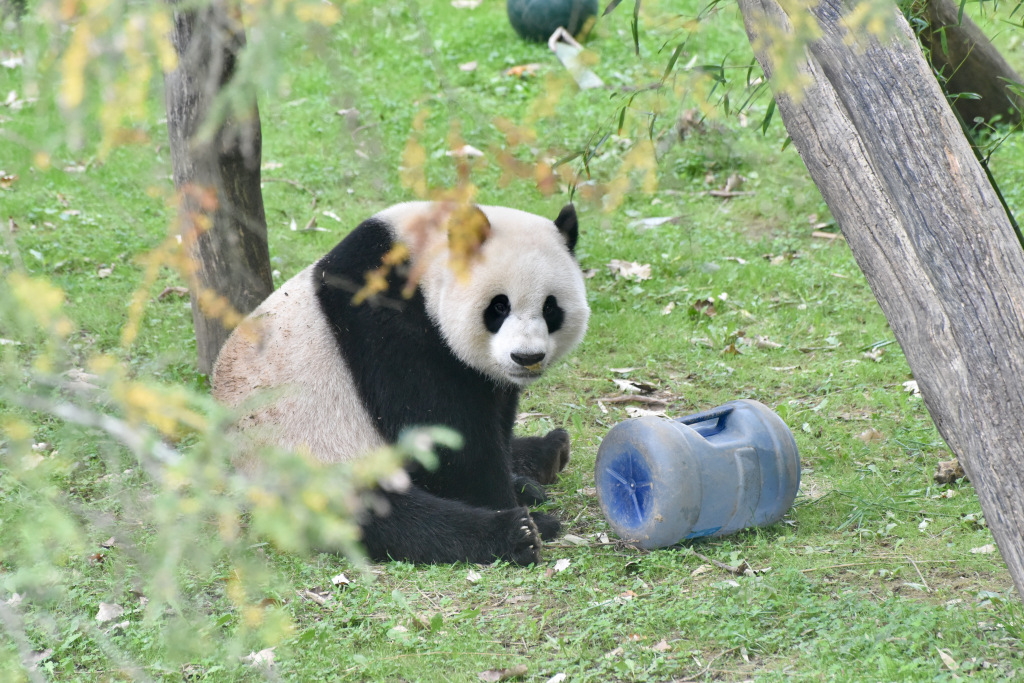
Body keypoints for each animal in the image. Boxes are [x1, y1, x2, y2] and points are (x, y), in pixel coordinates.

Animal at [211, 200, 589, 565]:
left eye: (550, 308)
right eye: (499, 306)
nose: (527, 358)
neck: (422, 257)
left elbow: (492, 418)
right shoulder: (387, 318)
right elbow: (442, 433)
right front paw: (510, 506)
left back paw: (547, 455)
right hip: (317, 461)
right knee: (393, 520)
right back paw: (518, 532)